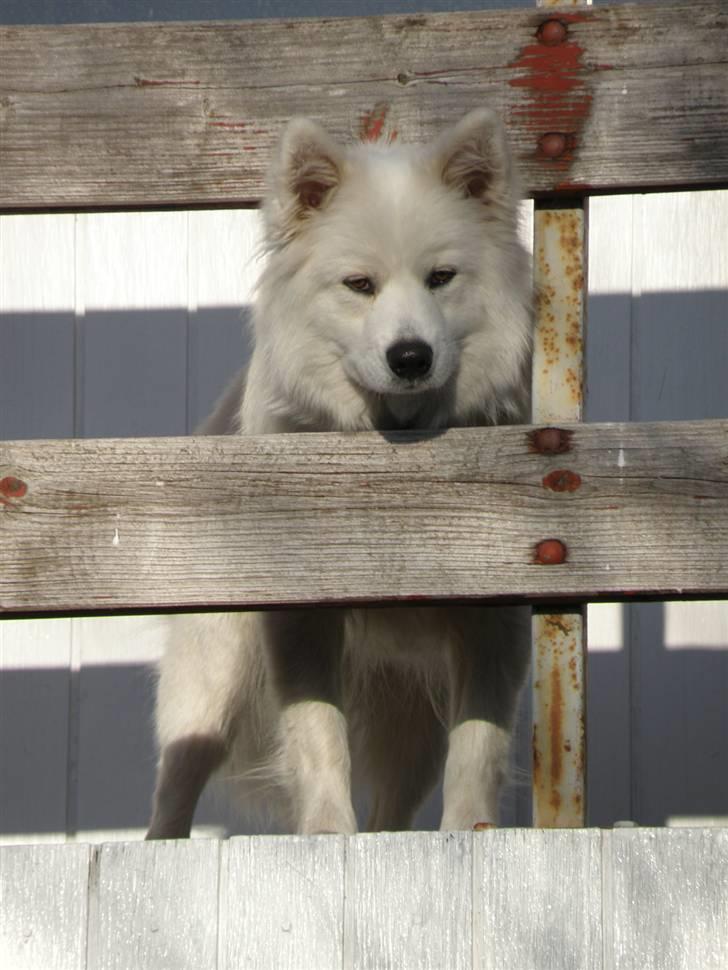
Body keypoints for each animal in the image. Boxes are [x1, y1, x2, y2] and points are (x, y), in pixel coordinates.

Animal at [149, 109, 536, 836]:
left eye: (441, 278)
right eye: (360, 286)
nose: (411, 356)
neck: (393, 452)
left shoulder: (493, 621)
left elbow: (478, 744)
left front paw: (470, 833)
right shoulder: (301, 619)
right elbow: (316, 734)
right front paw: (326, 834)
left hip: (409, 720)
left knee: (394, 805)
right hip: (210, 685)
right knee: (178, 775)